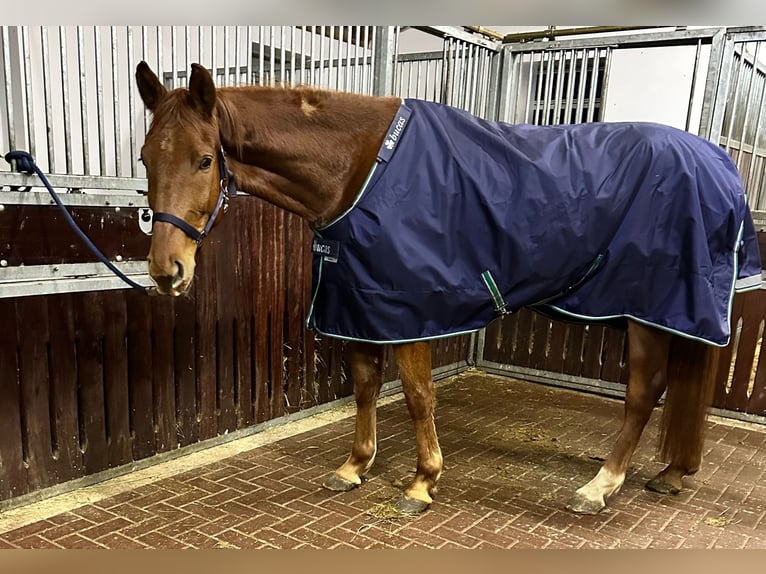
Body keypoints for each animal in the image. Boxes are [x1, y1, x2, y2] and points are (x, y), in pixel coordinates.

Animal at [135, 61, 761, 515]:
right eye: (144, 158)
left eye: (205, 159)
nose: (167, 271)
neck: (359, 168)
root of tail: (719, 163)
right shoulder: (359, 305)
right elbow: (365, 387)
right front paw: (355, 467)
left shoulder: (410, 311)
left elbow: (417, 396)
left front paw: (421, 483)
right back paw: (670, 473)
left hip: (646, 310)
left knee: (643, 391)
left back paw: (599, 487)